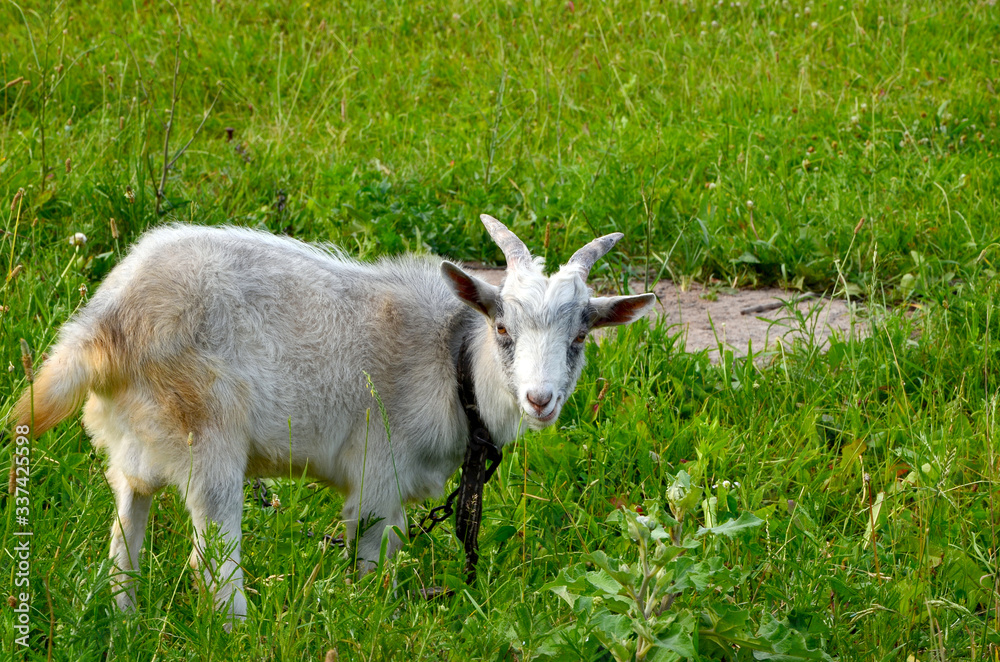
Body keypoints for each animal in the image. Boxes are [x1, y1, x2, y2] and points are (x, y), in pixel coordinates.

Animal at [9, 214, 656, 624]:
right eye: (502, 328)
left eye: (580, 338)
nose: (540, 399)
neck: (452, 362)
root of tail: (106, 326)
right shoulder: (378, 477)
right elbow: (370, 562)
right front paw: (371, 620)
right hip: (206, 437)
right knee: (212, 559)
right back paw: (240, 632)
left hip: (130, 441)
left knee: (124, 539)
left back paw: (127, 620)